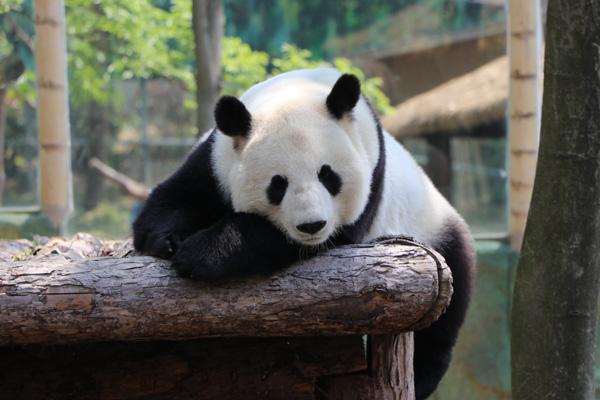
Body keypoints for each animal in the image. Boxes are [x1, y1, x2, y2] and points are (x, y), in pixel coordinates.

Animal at [134, 68, 476, 396]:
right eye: (277, 184)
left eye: (328, 176)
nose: (312, 225)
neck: (297, 89)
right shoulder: (215, 160)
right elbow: (173, 199)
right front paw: (168, 241)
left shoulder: (370, 178)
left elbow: (292, 241)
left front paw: (204, 252)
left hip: (433, 226)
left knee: (448, 305)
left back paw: (423, 377)